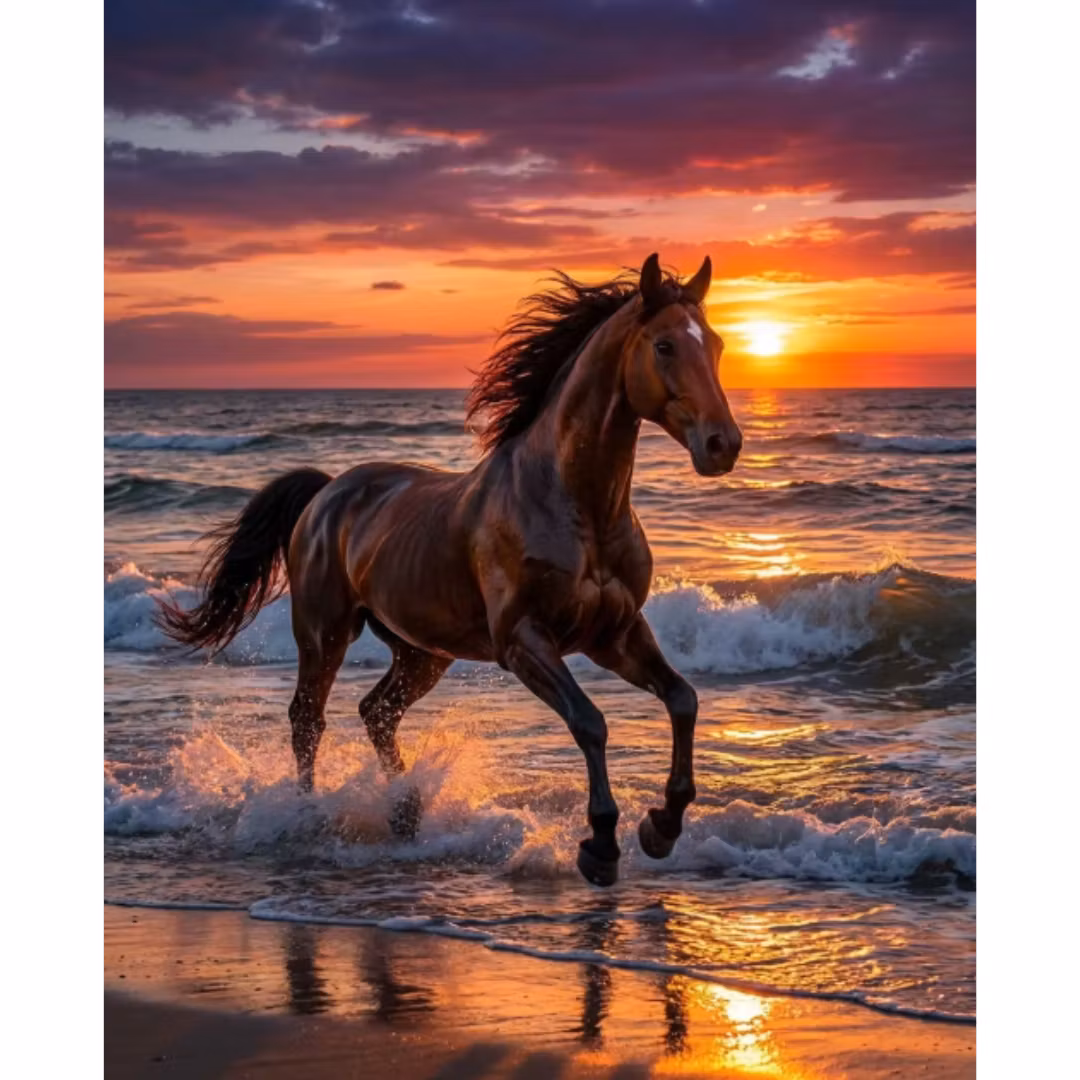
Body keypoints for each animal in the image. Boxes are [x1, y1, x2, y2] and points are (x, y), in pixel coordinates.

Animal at [157, 253, 742, 887]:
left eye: (715, 344)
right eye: (664, 345)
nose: (723, 444)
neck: (574, 504)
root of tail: (326, 492)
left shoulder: (615, 633)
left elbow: (682, 699)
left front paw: (661, 828)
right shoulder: (523, 641)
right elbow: (590, 721)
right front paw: (601, 845)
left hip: (422, 652)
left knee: (376, 712)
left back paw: (405, 812)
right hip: (324, 633)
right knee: (308, 720)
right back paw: (307, 816)